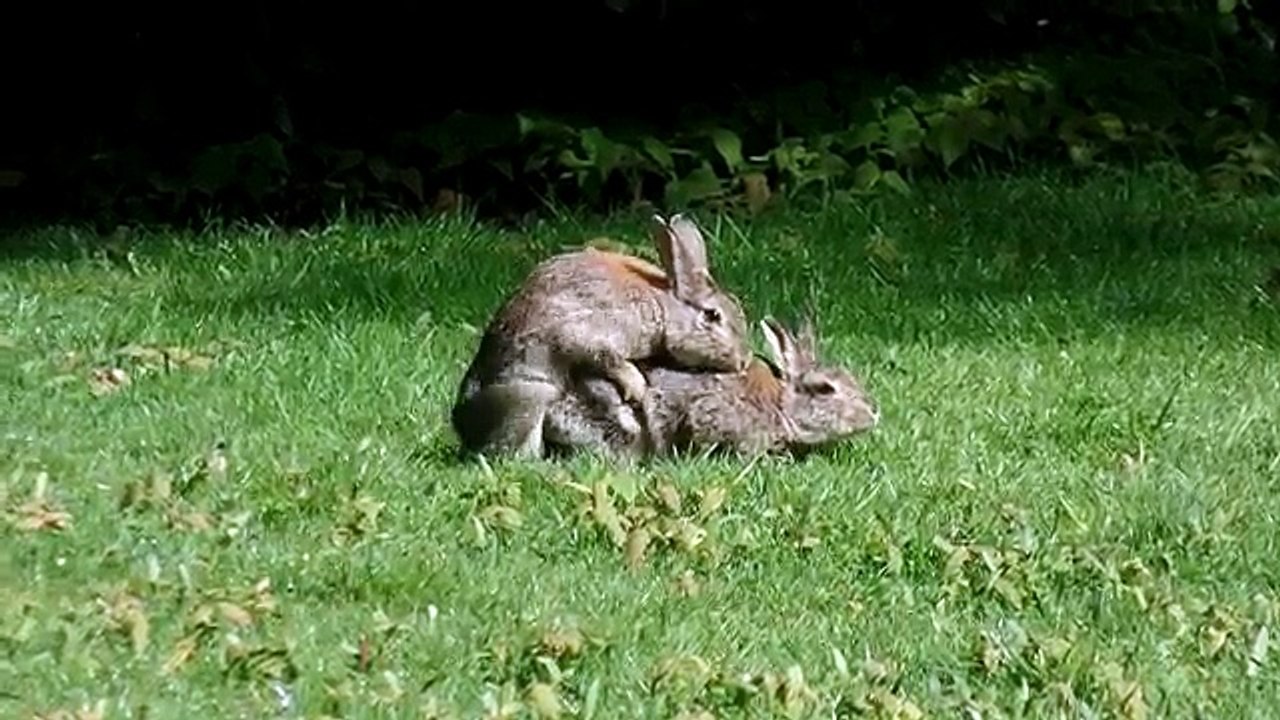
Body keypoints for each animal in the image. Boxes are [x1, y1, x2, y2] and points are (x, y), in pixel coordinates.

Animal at [450, 213, 753, 459]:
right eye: (712, 316)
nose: (743, 360)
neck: (664, 306)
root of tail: (462, 422)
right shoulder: (594, 331)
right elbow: (604, 357)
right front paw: (637, 387)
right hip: (528, 398)